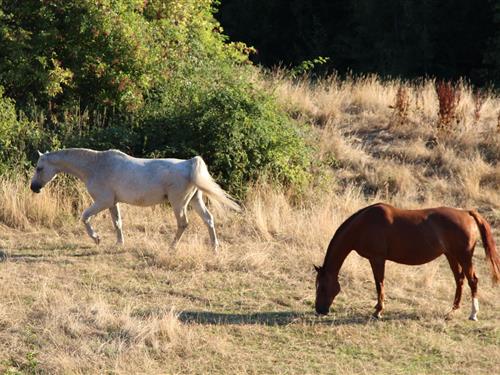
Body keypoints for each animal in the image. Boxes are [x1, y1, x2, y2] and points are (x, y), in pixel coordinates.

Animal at [30, 148, 241, 251]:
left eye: (40, 168)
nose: (33, 187)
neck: (96, 166)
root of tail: (190, 164)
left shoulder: (102, 202)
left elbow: (85, 217)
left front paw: (97, 238)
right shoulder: (112, 203)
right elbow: (117, 223)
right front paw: (119, 244)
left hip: (179, 204)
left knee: (183, 224)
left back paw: (172, 247)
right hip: (195, 201)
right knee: (209, 220)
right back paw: (214, 248)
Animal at [314, 204, 498, 322]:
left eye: (322, 287)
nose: (319, 310)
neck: (364, 224)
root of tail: (467, 213)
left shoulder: (377, 259)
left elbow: (379, 284)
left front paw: (378, 311)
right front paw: (377, 308)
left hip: (464, 257)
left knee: (472, 281)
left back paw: (473, 314)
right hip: (451, 256)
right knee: (459, 280)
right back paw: (451, 311)